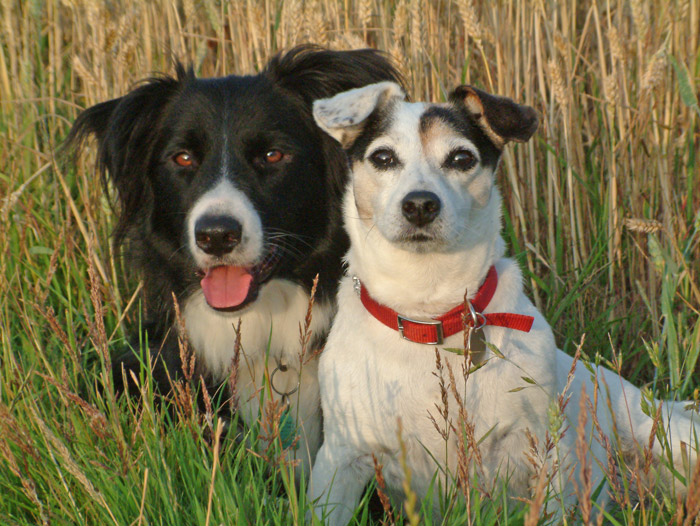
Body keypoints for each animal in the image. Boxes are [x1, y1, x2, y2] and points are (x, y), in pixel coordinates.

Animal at [308, 82, 700, 524]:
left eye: (461, 158)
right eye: (383, 157)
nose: (420, 204)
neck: (429, 315)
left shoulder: (550, 451)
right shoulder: (341, 459)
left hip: (671, 437)